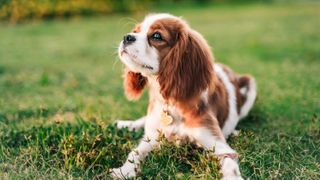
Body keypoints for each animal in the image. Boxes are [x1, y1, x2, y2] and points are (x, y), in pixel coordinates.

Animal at [111, 13, 256, 179]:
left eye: (156, 36)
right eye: (136, 31)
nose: (127, 37)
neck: (171, 101)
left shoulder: (217, 144)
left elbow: (230, 165)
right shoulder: (152, 137)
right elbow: (136, 152)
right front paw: (124, 170)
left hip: (250, 84)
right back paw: (127, 124)